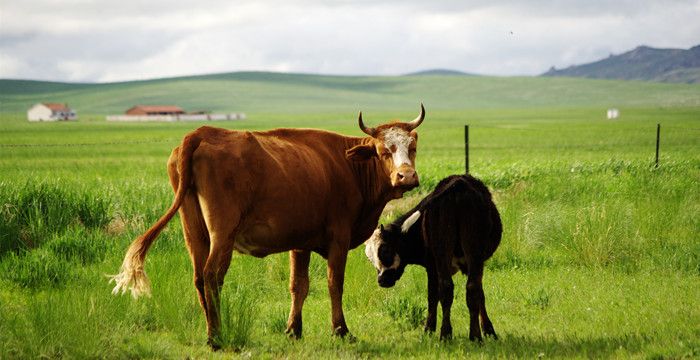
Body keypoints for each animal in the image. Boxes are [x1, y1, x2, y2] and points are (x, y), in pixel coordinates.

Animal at [110, 105, 426, 348]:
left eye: (412, 148)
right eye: (383, 150)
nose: (406, 176)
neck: (348, 167)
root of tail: (201, 133)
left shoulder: (301, 242)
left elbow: (298, 285)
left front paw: (293, 330)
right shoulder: (339, 238)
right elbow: (334, 284)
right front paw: (341, 331)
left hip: (194, 232)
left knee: (199, 277)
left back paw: (211, 331)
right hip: (222, 233)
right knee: (212, 276)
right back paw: (217, 337)